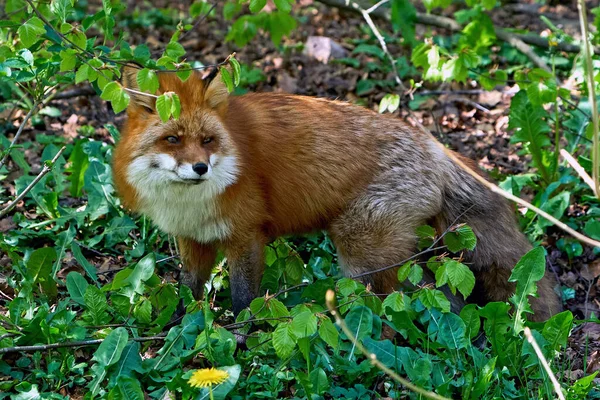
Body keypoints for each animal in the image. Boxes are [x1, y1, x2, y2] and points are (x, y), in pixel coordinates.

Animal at [112, 68, 564, 318]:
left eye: (207, 140)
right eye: (172, 139)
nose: (201, 168)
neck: (191, 202)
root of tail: (434, 146)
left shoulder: (246, 237)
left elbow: (244, 302)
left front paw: (241, 338)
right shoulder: (192, 239)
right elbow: (187, 290)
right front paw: (180, 326)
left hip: (360, 250)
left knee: (425, 301)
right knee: (444, 294)